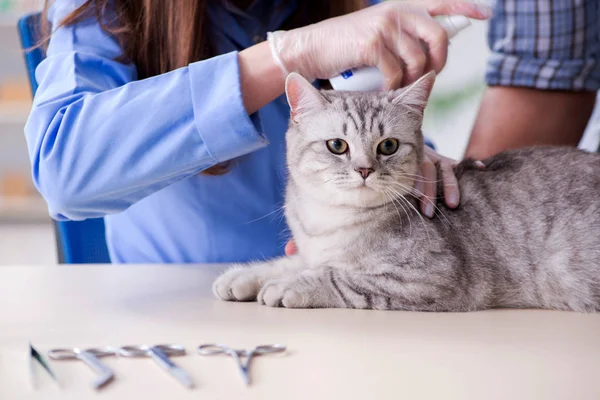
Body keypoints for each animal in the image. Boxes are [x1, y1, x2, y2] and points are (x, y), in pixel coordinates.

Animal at [211, 70, 600, 310]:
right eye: (337, 146)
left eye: (388, 146)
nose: (364, 169)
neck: (329, 223)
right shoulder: (310, 250)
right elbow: (292, 261)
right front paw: (244, 275)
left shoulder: (431, 277)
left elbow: (338, 277)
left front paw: (289, 286)